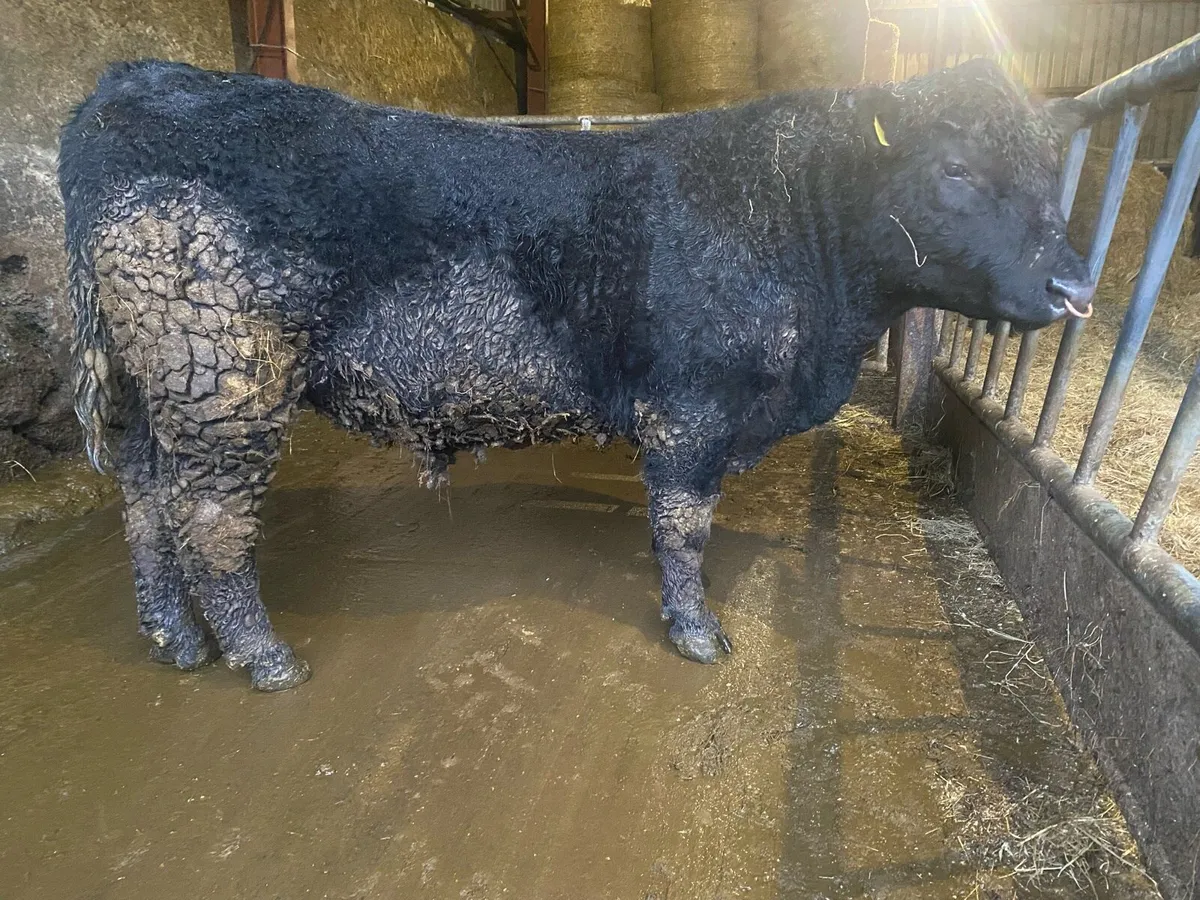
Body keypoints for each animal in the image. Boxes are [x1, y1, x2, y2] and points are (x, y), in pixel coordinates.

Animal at [58, 58, 1093, 691]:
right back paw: (264, 658)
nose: (1077, 283)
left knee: (144, 506)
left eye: (1053, 169)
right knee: (208, 524)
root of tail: (136, 80)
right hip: (225, 385)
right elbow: (682, 528)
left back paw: (177, 641)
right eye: (954, 168)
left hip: (157, 393)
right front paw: (697, 632)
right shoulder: (691, 406)